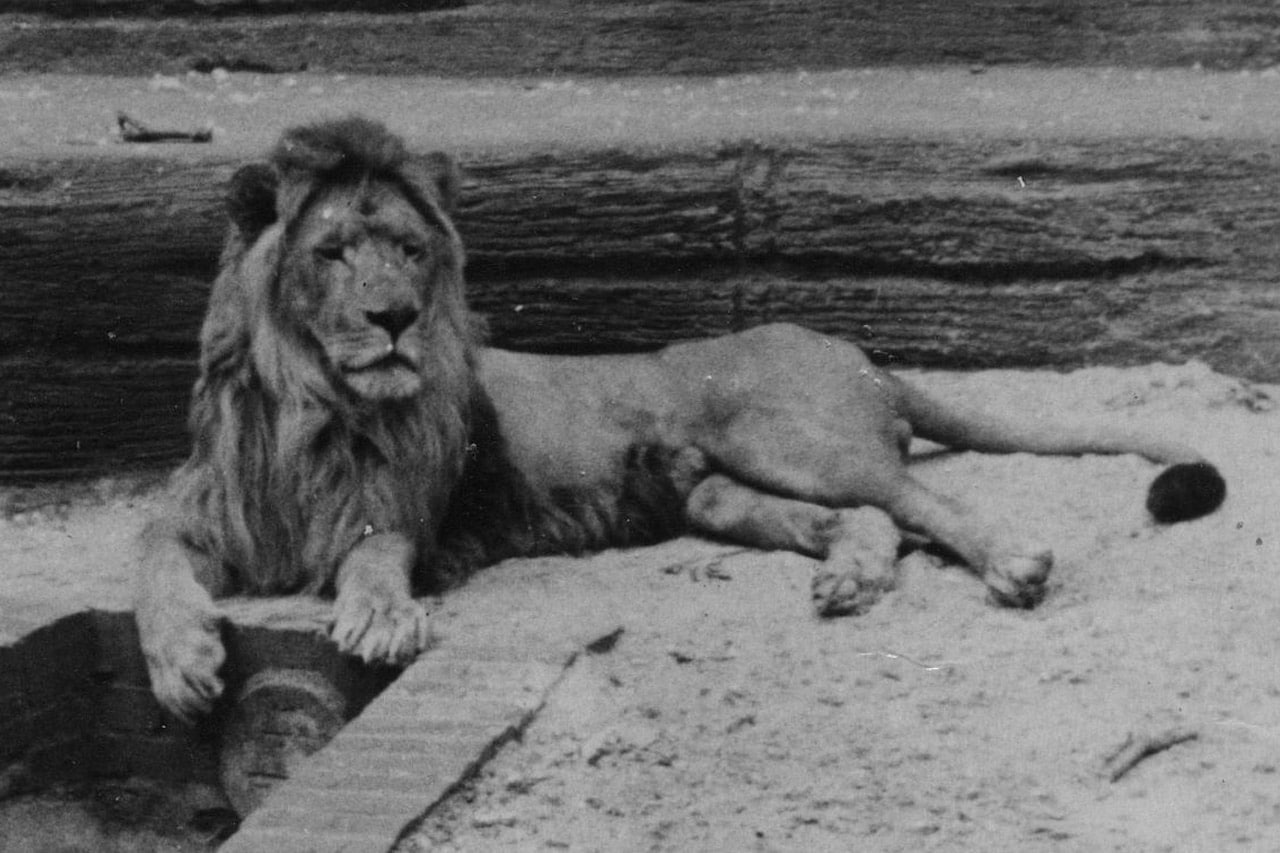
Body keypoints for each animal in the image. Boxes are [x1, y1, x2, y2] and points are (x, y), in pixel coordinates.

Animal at [135, 116, 1223, 717]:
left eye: (406, 248)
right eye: (331, 254)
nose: (394, 317)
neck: (312, 408)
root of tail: (856, 351)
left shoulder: (409, 513)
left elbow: (370, 552)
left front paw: (376, 615)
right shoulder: (207, 514)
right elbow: (153, 562)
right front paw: (185, 664)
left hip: (786, 441)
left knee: (922, 500)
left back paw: (1011, 563)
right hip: (717, 493)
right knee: (876, 519)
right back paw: (849, 580)